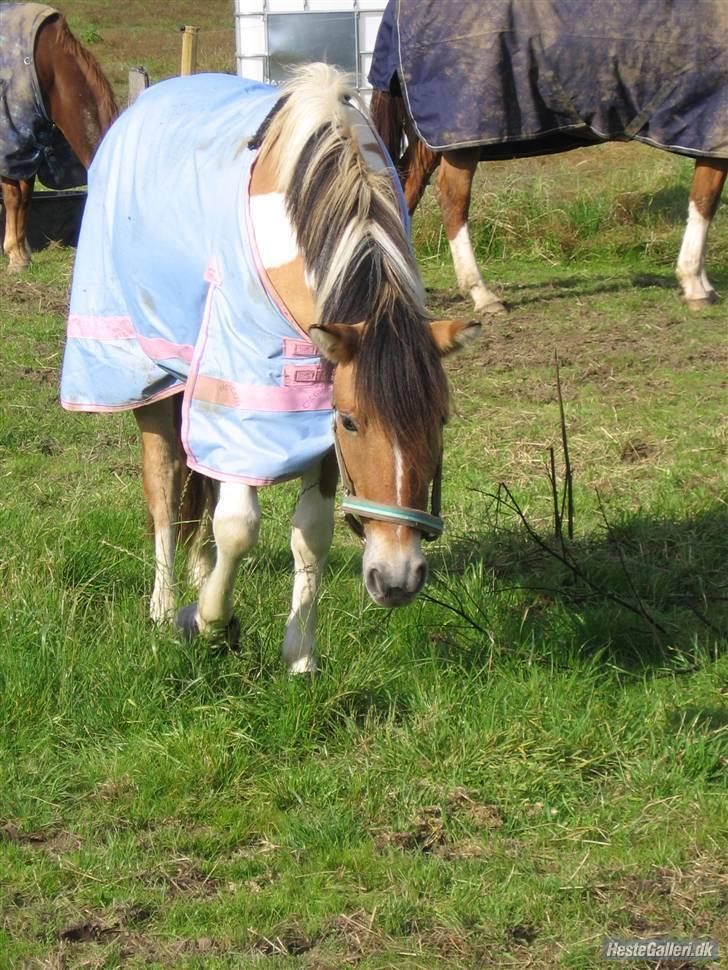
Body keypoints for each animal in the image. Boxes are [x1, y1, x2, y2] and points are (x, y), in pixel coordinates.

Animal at [0, 3, 118, 272]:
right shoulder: (10, 141)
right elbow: (13, 196)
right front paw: (14, 255)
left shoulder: (32, 140)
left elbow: (25, 197)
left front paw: (23, 253)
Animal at [59, 65, 479, 673]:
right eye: (352, 421)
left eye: (440, 420)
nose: (397, 578)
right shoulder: (244, 390)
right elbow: (238, 526)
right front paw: (209, 622)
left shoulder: (315, 401)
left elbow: (311, 532)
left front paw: (300, 655)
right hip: (152, 381)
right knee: (165, 491)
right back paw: (163, 605)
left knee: (200, 487)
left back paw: (198, 571)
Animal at [369, 0, 728, 313]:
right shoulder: (712, 127)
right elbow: (703, 200)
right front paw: (695, 284)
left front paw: (701, 284)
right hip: (460, 133)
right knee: (452, 199)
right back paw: (482, 294)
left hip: (435, 137)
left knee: (407, 188)